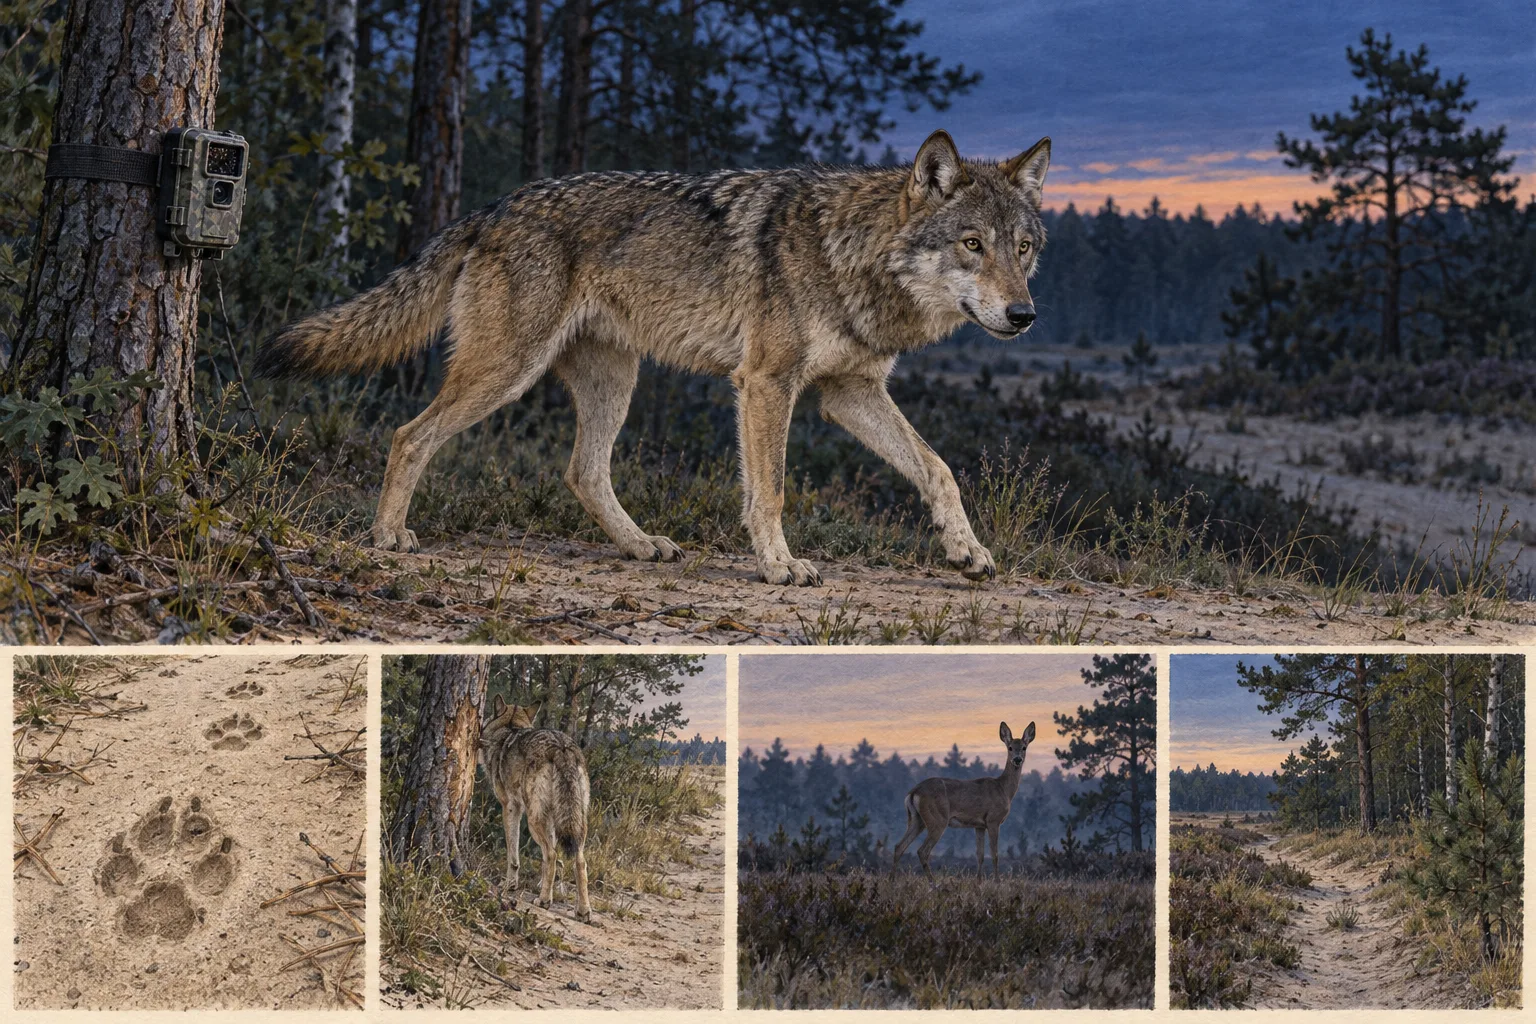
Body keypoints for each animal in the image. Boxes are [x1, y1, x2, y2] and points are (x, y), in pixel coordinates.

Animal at [258, 130, 1051, 586]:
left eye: (1023, 248)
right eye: (972, 244)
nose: (1024, 316)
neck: (853, 255)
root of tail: (491, 209)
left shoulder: (848, 392)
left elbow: (939, 470)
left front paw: (967, 552)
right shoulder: (767, 383)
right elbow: (771, 491)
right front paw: (780, 565)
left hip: (615, 381)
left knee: (582, 472)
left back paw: (641, 547)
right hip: (506, 373)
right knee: (409, 435)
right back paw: (388, 536)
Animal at [478, 696, 592, 922]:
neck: (509, 729)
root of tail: (561, 748)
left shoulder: (511, 807)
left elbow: (513, 855)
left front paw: (510, 885)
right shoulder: (552, 820)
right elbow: (552, 863)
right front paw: (546, 885)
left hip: (533, 820)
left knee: (552, 854)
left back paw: (544, 901)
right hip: (577, 823)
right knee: (580, 861)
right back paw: (582, 911)